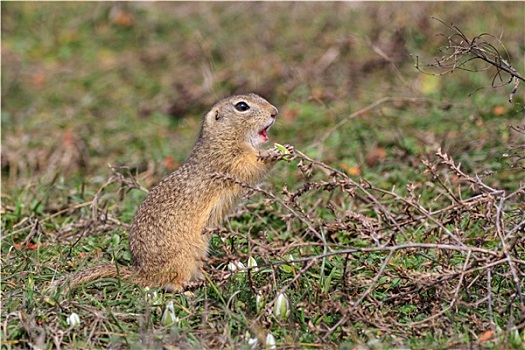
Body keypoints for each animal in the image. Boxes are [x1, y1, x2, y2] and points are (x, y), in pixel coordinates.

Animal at [58, 93, 286, 292]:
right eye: (242, 106)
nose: (275, 112)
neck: (222, 138)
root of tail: (143, 273)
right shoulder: (229, 161)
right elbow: (251, 166)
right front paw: (275, 153)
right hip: (183, 259)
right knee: (169, 283)